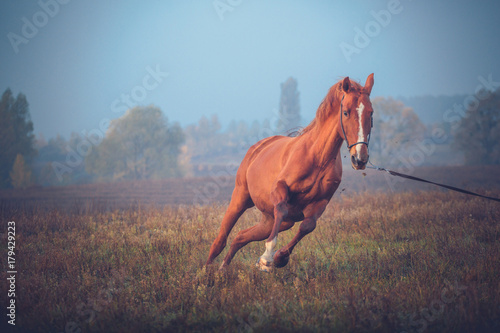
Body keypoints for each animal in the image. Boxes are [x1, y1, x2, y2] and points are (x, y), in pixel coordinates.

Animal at [205, 73, 374, 270]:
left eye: (371, 113)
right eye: (346, 112)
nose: (360, 158)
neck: (318, 157)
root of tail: (257, 148)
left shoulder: (321, 202)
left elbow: (308, 226)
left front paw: (280, 258)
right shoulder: (280, 188)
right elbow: (282, 208)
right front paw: (266, 257)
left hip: (270, 220)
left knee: (240, 237)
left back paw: (223, 269)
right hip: (240, 198)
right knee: (220, 240)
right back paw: (206, 272)